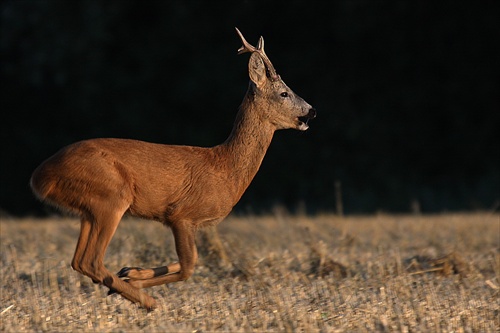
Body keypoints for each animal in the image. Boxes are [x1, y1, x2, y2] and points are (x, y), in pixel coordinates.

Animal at [29, 27, 314, 308]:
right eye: (284, 93)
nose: (311, 111)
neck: (225, 167)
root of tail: (40, 176)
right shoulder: (181, 214)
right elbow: (189, 266)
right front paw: (134, 282)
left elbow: (185, 262)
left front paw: (131, 272)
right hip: (111, 196)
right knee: (91, 260)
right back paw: (147, 301)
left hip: (89, 209)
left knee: (78, 260)